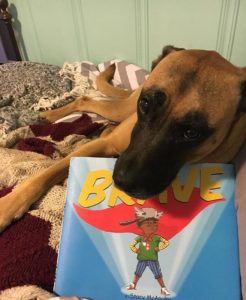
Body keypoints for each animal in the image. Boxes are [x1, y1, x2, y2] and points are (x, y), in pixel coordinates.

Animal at [0, 45, 246, 231]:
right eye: (145, 104)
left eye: (191, 132)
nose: (122, 181)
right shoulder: (100, 146)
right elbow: (44, 175)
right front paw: (9, 205)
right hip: (120, 109)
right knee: (85, 99)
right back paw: (51, 114)